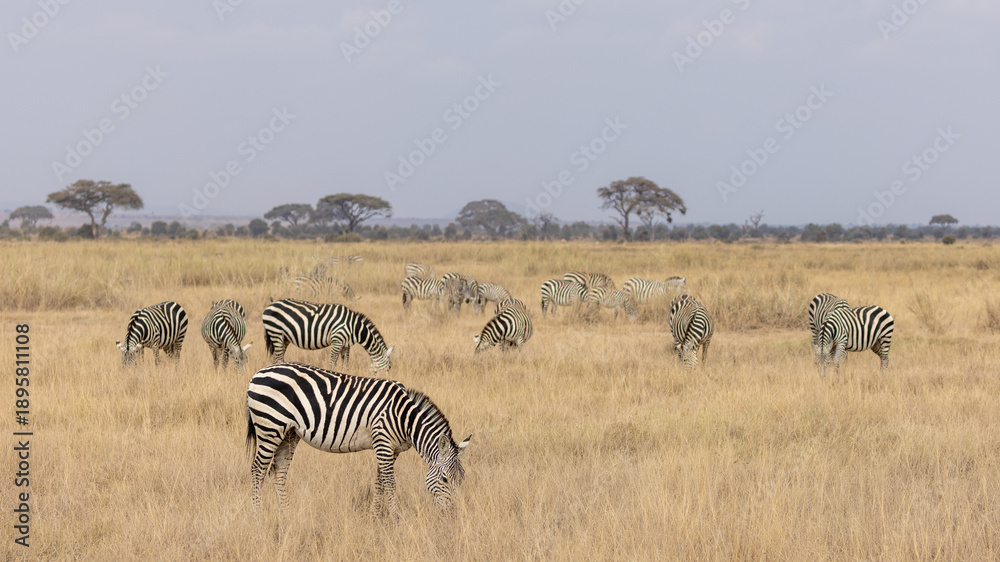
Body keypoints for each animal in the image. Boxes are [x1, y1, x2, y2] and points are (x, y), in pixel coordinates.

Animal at [246, 362, 471, 516]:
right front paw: (395, 518)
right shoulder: (382, 442)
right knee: (257, 470)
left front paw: (375, 517)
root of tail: (258, 372)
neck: (405, 418)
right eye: (445, 479)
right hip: (269, 426)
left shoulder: (392, 449)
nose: (452, 515)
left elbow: (379, 483)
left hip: (288, 433)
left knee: (279, 471)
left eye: (462, 479)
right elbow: (390, 483)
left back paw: (285, 513)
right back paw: (257, 514)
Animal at [262, 298, 394, 371]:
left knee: (278, 358)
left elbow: (345, 364)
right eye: (388, 369)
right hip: (276, 333)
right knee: (277, 358)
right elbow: (332, 363)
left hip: (284, 338)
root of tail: (270, 305)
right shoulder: (337, 341)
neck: (354, 327)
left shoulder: (346, 345)